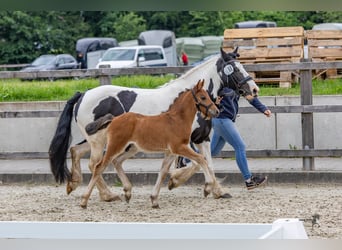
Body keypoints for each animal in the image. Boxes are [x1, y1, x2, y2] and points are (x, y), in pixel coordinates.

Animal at [80, 80, 219, 209]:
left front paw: (154, 200)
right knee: (99, 166)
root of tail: (114, 119)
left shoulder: (171, 152)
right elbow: (201, 159)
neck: (177, 120)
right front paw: (207, 188)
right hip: (115, 146)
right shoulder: (179, 147)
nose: (216, 111)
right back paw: (84, 201)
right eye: (203, 97)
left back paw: (127, 192)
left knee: (116, 162)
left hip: (132, 148)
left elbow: (163, 172)